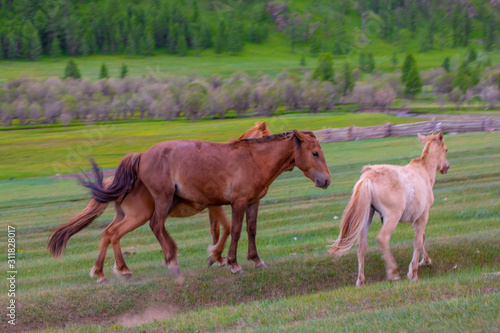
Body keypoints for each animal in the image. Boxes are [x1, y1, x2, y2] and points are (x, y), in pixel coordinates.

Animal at [48, 122, 272, 280]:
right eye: (266, 136)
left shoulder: (214, 207)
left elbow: (217, 230)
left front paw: (218, 257)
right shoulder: (215, 205)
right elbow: (224, 228)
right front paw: (217, 256)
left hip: (126, 214)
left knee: (108, 233)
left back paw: (103, 271)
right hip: (140, 214)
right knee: (120, 232)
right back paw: (129, 268)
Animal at [81, 130, 332, 274]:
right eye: (315, 153)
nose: (327, 180)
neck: (253, 160)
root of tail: (142, 155)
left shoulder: (253, 203)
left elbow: (251, 230)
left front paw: (256, 260)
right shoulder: (238, 202)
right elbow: (236, 230)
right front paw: (233, 263)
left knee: (116, 232)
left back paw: (106, 270)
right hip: (161, 199)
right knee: (154, 225)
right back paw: (168, 262)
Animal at [330, 132, 452, 286]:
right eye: (446, 150)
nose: (446, 167)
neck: (423, 171)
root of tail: (368, 177)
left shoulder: (417, 218)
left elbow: (422, 237)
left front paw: (425, 260)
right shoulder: (423, 216)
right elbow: (418, 241)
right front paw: (413, 272)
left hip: (367, 217)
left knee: (361, 245)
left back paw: (360, 280)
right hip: (392, 217)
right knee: (382, 238)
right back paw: (393, 272)